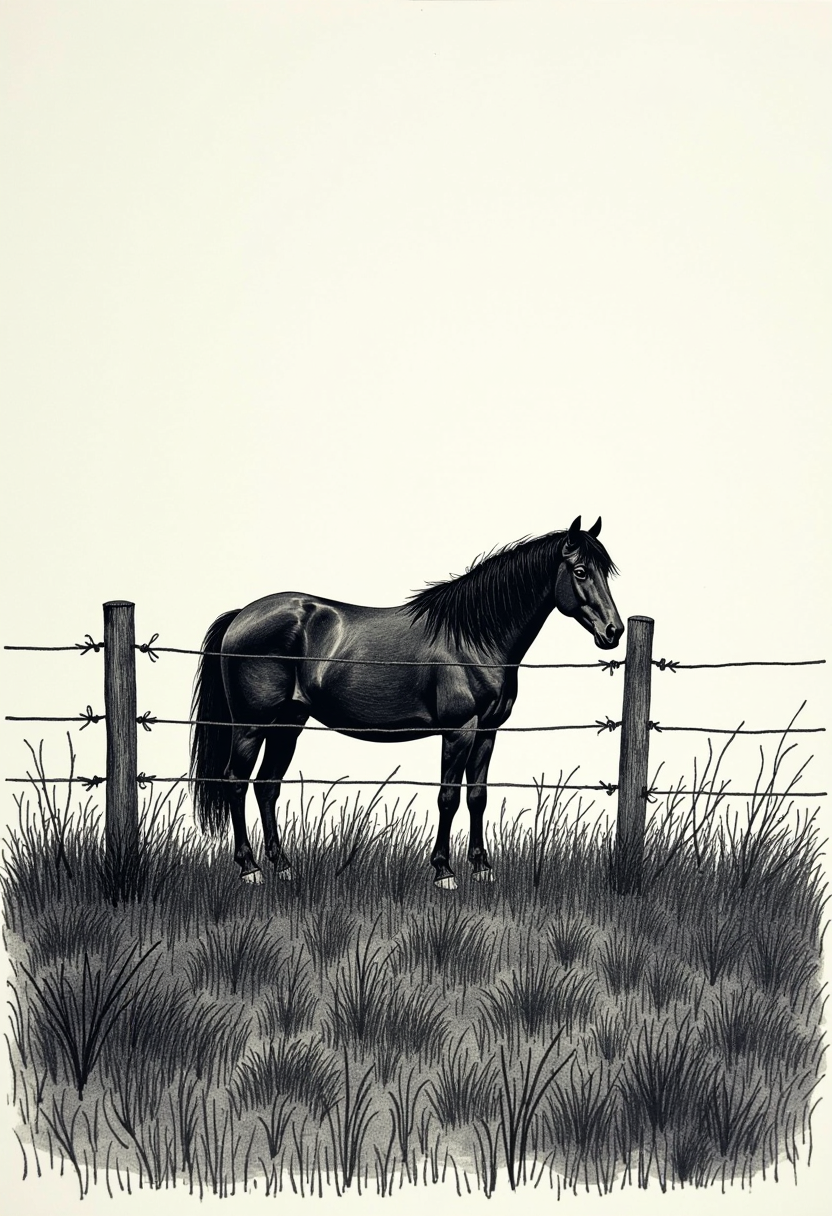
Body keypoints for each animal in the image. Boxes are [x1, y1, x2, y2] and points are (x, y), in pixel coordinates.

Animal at [189, 515, 623, 889]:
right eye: (580, 571)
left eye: (604, 572)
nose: (613, 631)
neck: (471, 638)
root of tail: (242, 615)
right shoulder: (459, 731)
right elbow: (448, 797)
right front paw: (444, 872)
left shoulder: (487, 731)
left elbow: (477, 796)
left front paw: (482, 868)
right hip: (250, 726)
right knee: (236, 782)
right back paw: (250, 869)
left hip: (288, 724)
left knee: (267, 786)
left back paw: (283, 866)